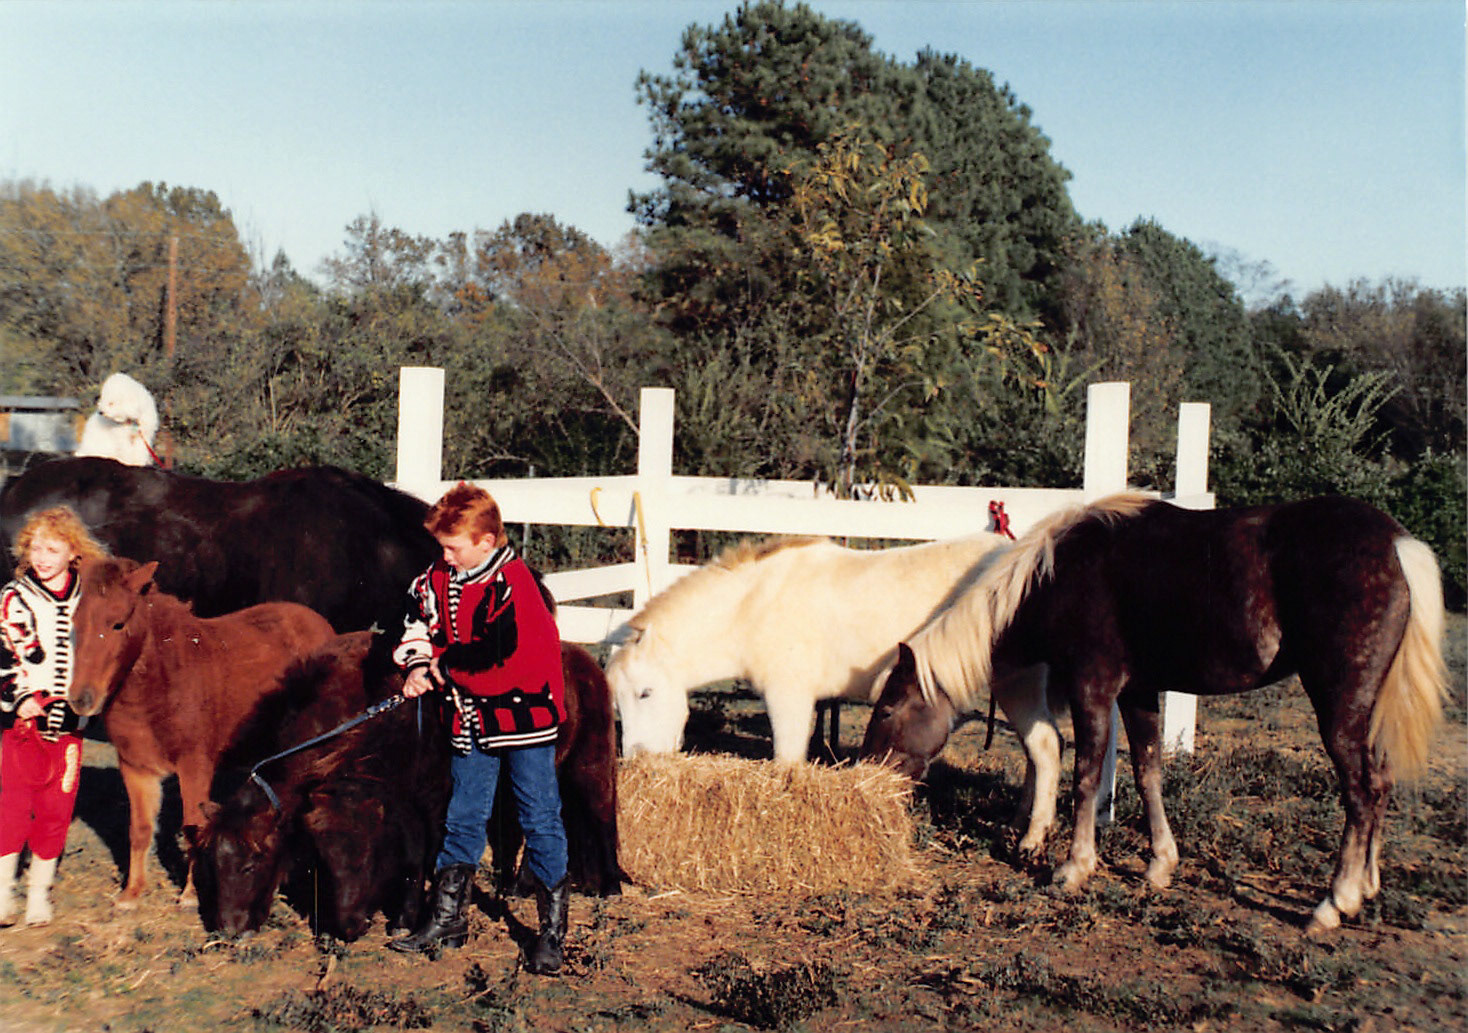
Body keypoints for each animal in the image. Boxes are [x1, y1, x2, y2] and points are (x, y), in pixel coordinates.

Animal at [68, 556, 337, 904]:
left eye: (117, 623)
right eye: (72, 624)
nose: (81, 699)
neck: (162, 681)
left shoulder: (194, 767)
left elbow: (193, 827)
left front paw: (190, 896)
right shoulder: (136, 768)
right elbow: (139, 829)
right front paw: (131, 894)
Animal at [196, 632, 623, 940]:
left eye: (251, 863)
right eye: (215, 863)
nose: (229, 929)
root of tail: (584, 659)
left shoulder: (433, 803)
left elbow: (427, 856)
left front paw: (418, 918)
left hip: (589, 765)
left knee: (602, 816)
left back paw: (612, 886)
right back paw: (516, 887)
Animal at [860, 494, 1448, 935]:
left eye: (886, 709)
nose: (866, 778)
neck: (1060, 574)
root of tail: (1398, 543)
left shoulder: (1093, 687)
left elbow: (1086, 775)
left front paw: (1073, 867)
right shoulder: (1138, 691)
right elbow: (1148, 773)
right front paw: (1160, 864)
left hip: (1339, 701)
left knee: (1361, 790)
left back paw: (1336, 901)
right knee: (1381, 783)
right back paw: (1366, 885)